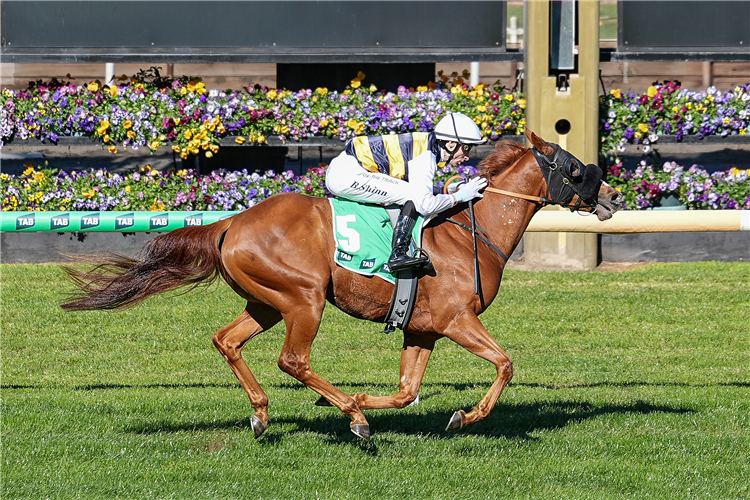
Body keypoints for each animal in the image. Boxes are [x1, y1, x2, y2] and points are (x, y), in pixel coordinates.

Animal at [61, 129, 624, 440]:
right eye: (575, 168)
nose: (613, 198)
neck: (472, 233)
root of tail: (232, 222)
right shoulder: (455, 319)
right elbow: (505, 364)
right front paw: (463, 417)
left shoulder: (422, 328)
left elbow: (407, 392)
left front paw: (375, 405)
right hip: (304, 299)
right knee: (293, 360)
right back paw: (349, 415)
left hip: (268, 302)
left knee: (226, 341)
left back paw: (265, 414)